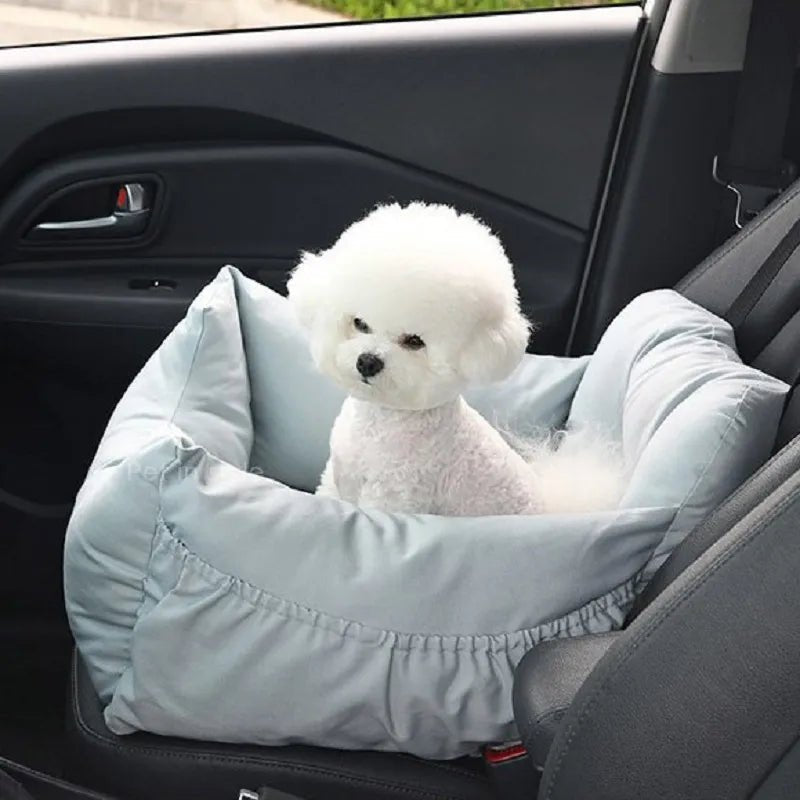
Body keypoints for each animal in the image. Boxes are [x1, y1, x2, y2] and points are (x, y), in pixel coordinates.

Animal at [284, 203, 620, 516]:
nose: (367, 362)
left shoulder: (393, 496)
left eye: (414, 342)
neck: (381, 419)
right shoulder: (336, 477)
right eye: (360, 323)